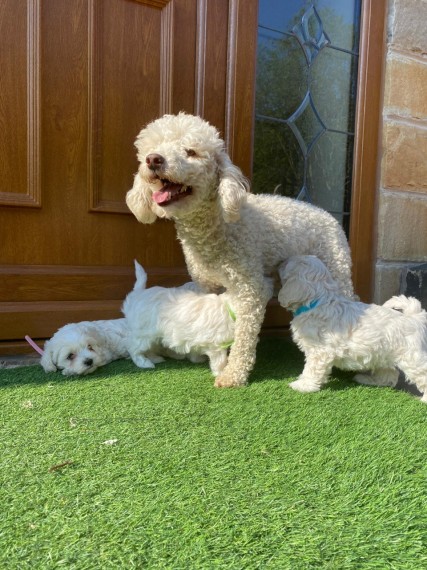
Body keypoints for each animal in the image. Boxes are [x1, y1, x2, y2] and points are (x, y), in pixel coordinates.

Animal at [126, 112, 354, 386]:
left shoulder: (250, 289)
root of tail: (328, 215)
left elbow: (244, 336)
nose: (153, 159)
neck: (219, 226)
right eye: (151, 149)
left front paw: (232, 374)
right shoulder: (207, 285)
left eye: (191, 152)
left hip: (336, 265)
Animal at [278, 255, 427, 402]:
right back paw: (368, 379)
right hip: (384, 354)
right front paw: (302, 380)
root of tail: (414, 317)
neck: (318, 301)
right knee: (389, 375)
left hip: (411, 357)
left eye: (287, 263)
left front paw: (303, 385)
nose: (280, 262)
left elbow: (312, 369)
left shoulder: (319, 351)